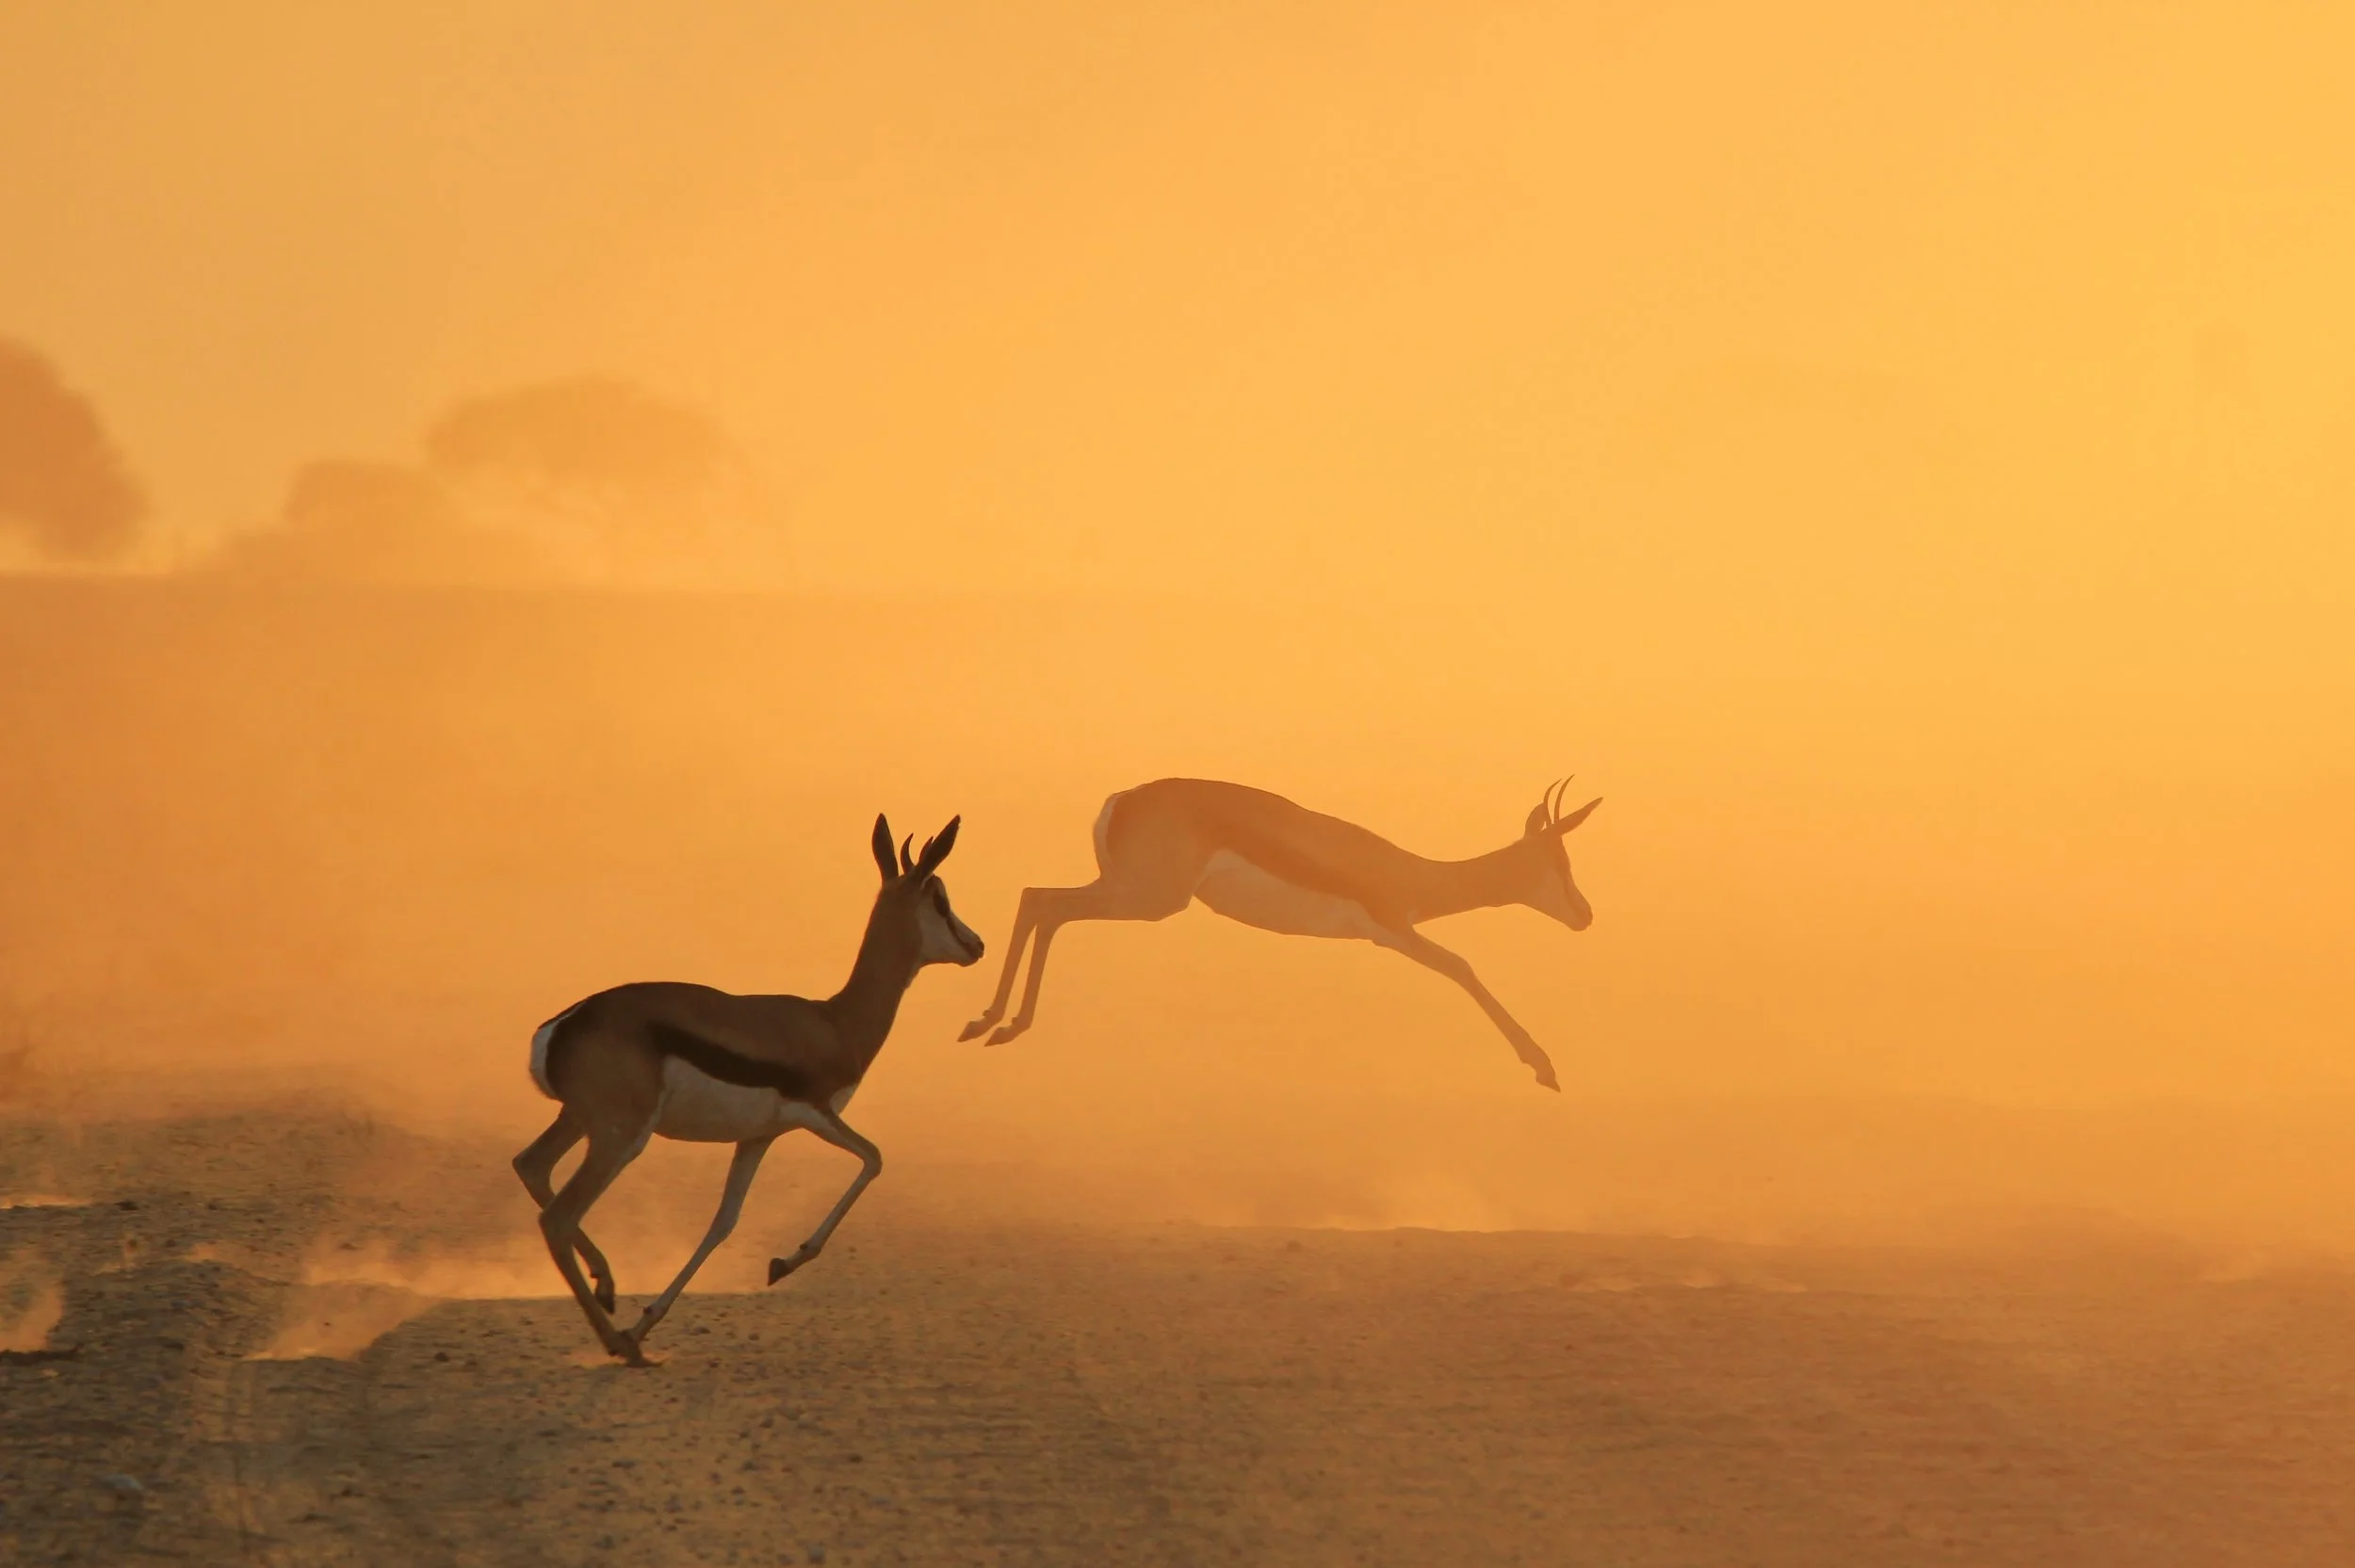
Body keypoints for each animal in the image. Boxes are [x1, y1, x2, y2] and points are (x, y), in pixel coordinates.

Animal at [513, 814, 981, 1366]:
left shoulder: (757, 1138)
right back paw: (619, 1344)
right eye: (940, 898)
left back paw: (610, 1295)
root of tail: (563, 1026)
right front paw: (784, 1263)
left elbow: (723, 1222)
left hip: (578, 1120)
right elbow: (874, 1158)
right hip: (620, 1136)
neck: (836, 1021)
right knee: (557, 1217)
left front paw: (647, 1321)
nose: (976, 945)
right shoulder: (816, 1113)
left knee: (531, 1166)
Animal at [959, 779, 1600, 1090]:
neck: (1409, 871)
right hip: (1147, 900)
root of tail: (1122, 801)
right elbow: (1463, 967)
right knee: (1047, 905)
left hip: (1124, 890)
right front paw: (1544, 1068)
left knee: (1038, 900)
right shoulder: (1395, 930)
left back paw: (991, 1024)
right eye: (1560, 862)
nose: (1585, 914)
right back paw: (997, 1024)